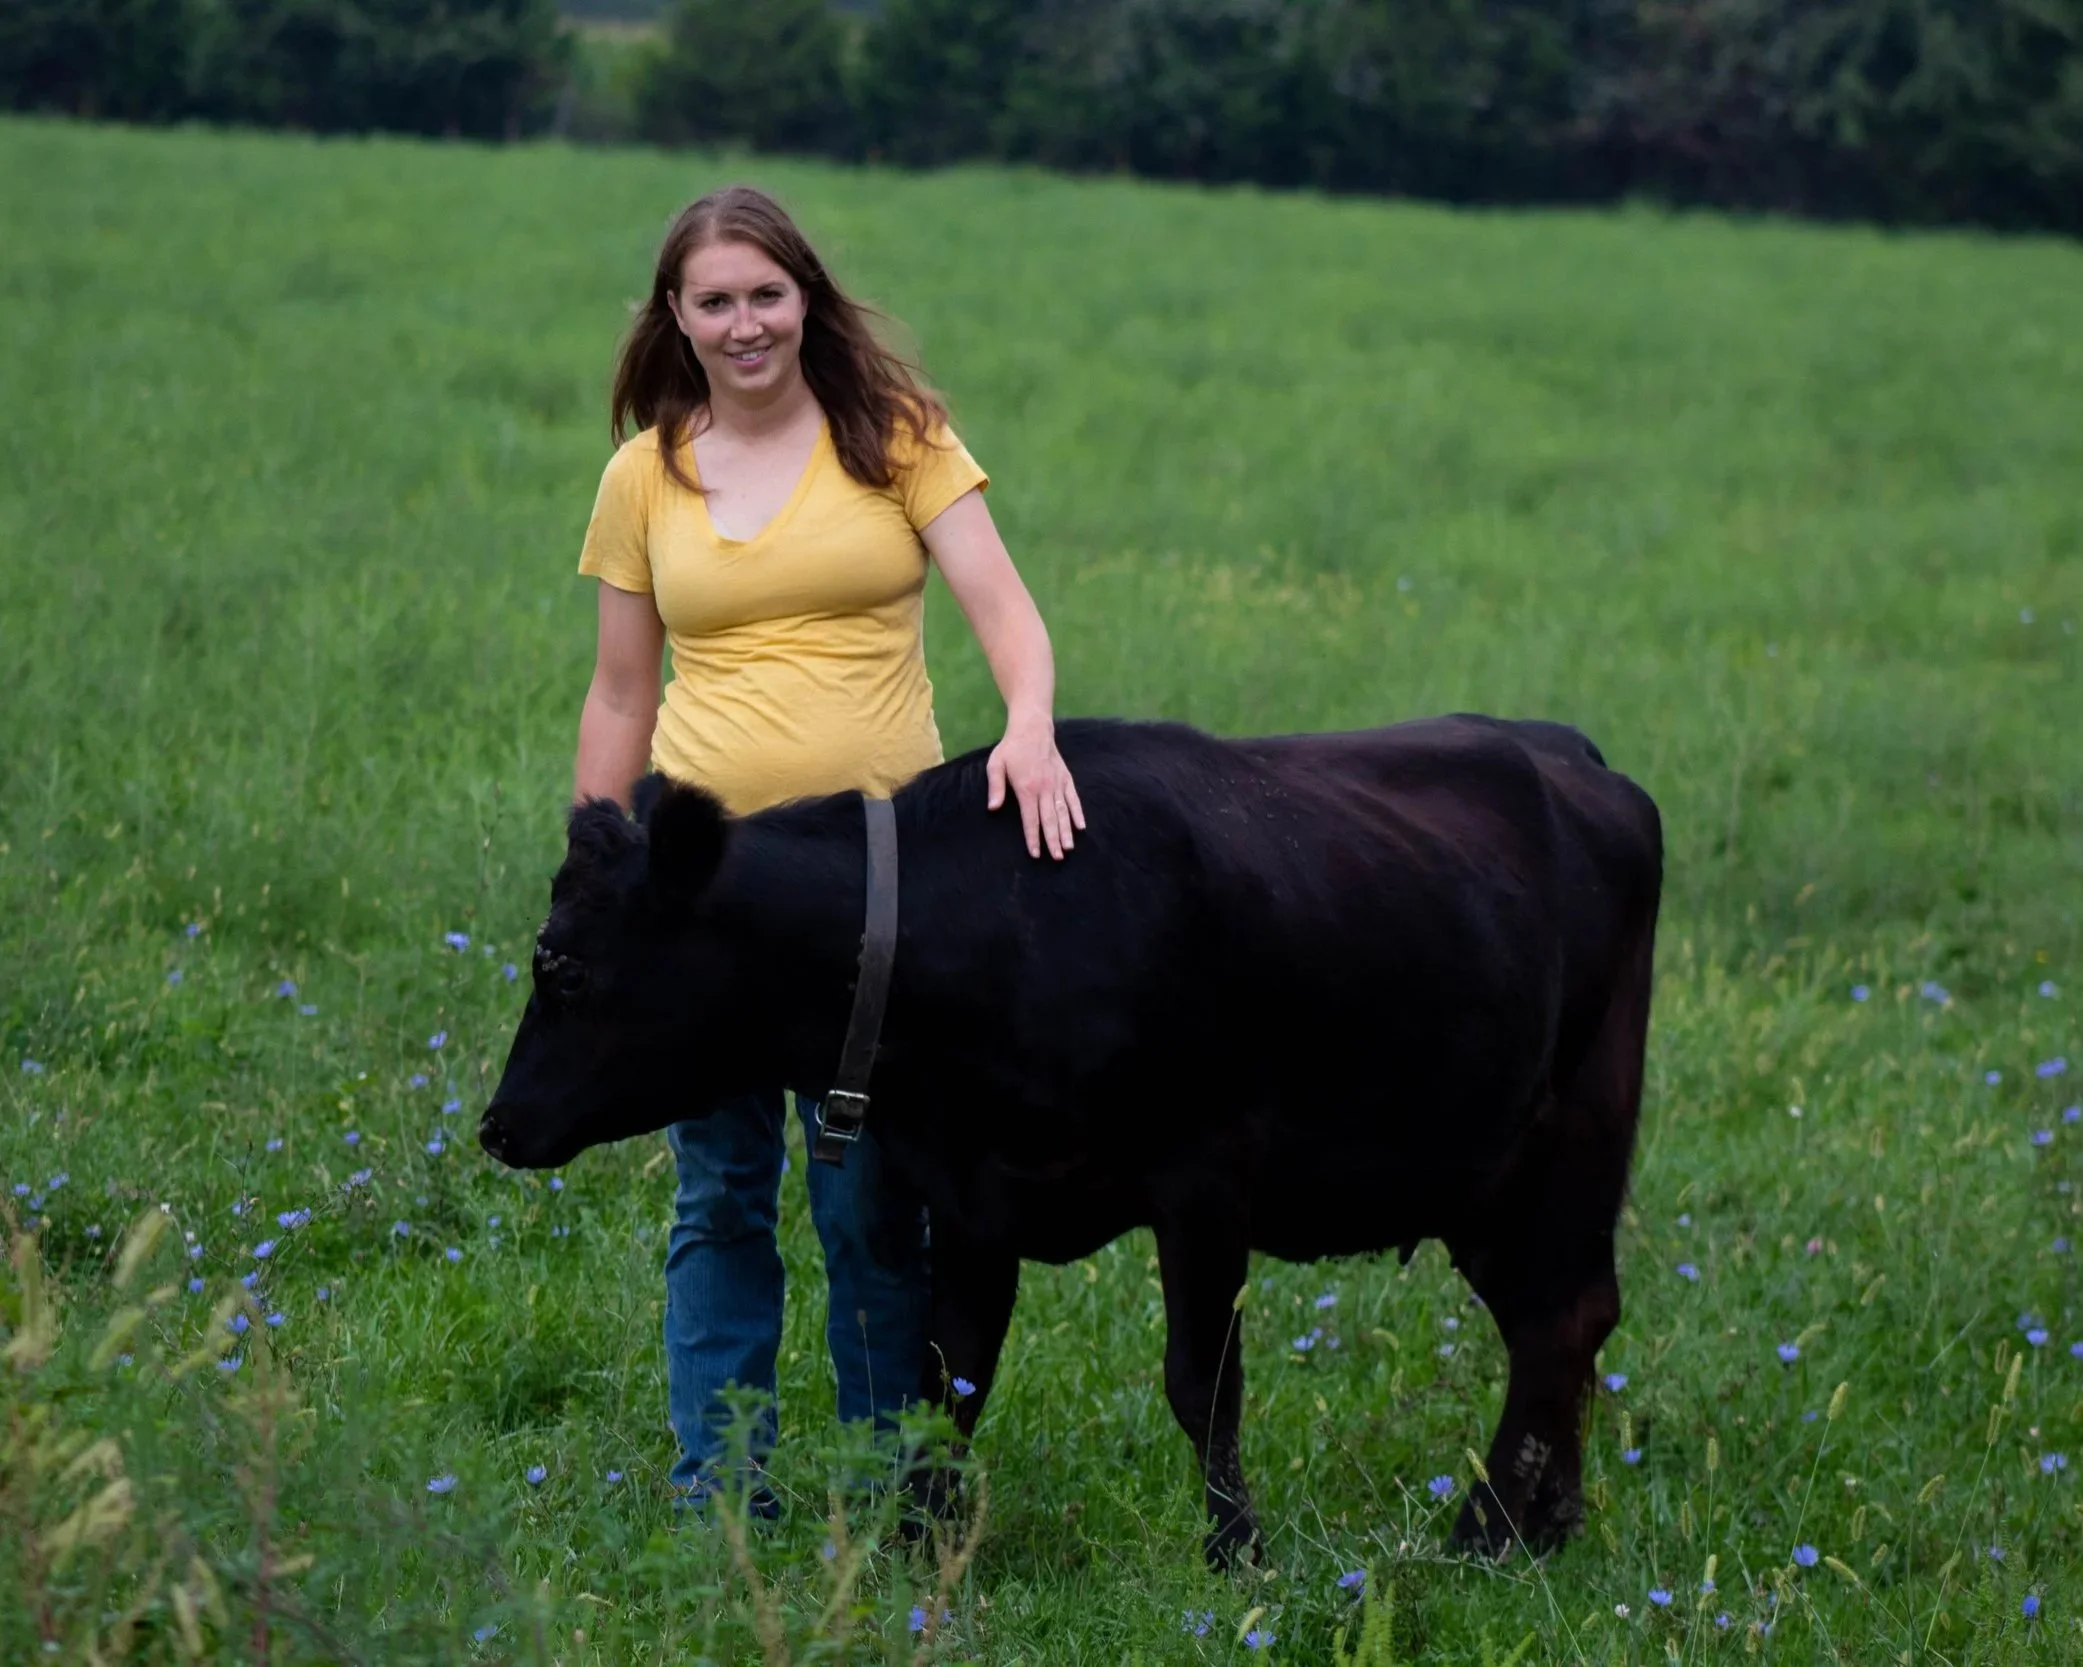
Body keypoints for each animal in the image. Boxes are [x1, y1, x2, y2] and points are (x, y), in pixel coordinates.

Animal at [478, 714, 1662, 1568]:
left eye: (562, 964)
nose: (495, 1125)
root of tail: (1571, 752)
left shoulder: (1204, 1180)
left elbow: (1202, 1383)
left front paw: (1236, 1554)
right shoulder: (965, 1194)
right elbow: (945, 1380)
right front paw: (914, 1546)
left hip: (1575, 1132)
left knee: (1562, 1319)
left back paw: (1488, 1530)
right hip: (1485, 1173)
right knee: (1555, 1324)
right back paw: (1540, 1523)